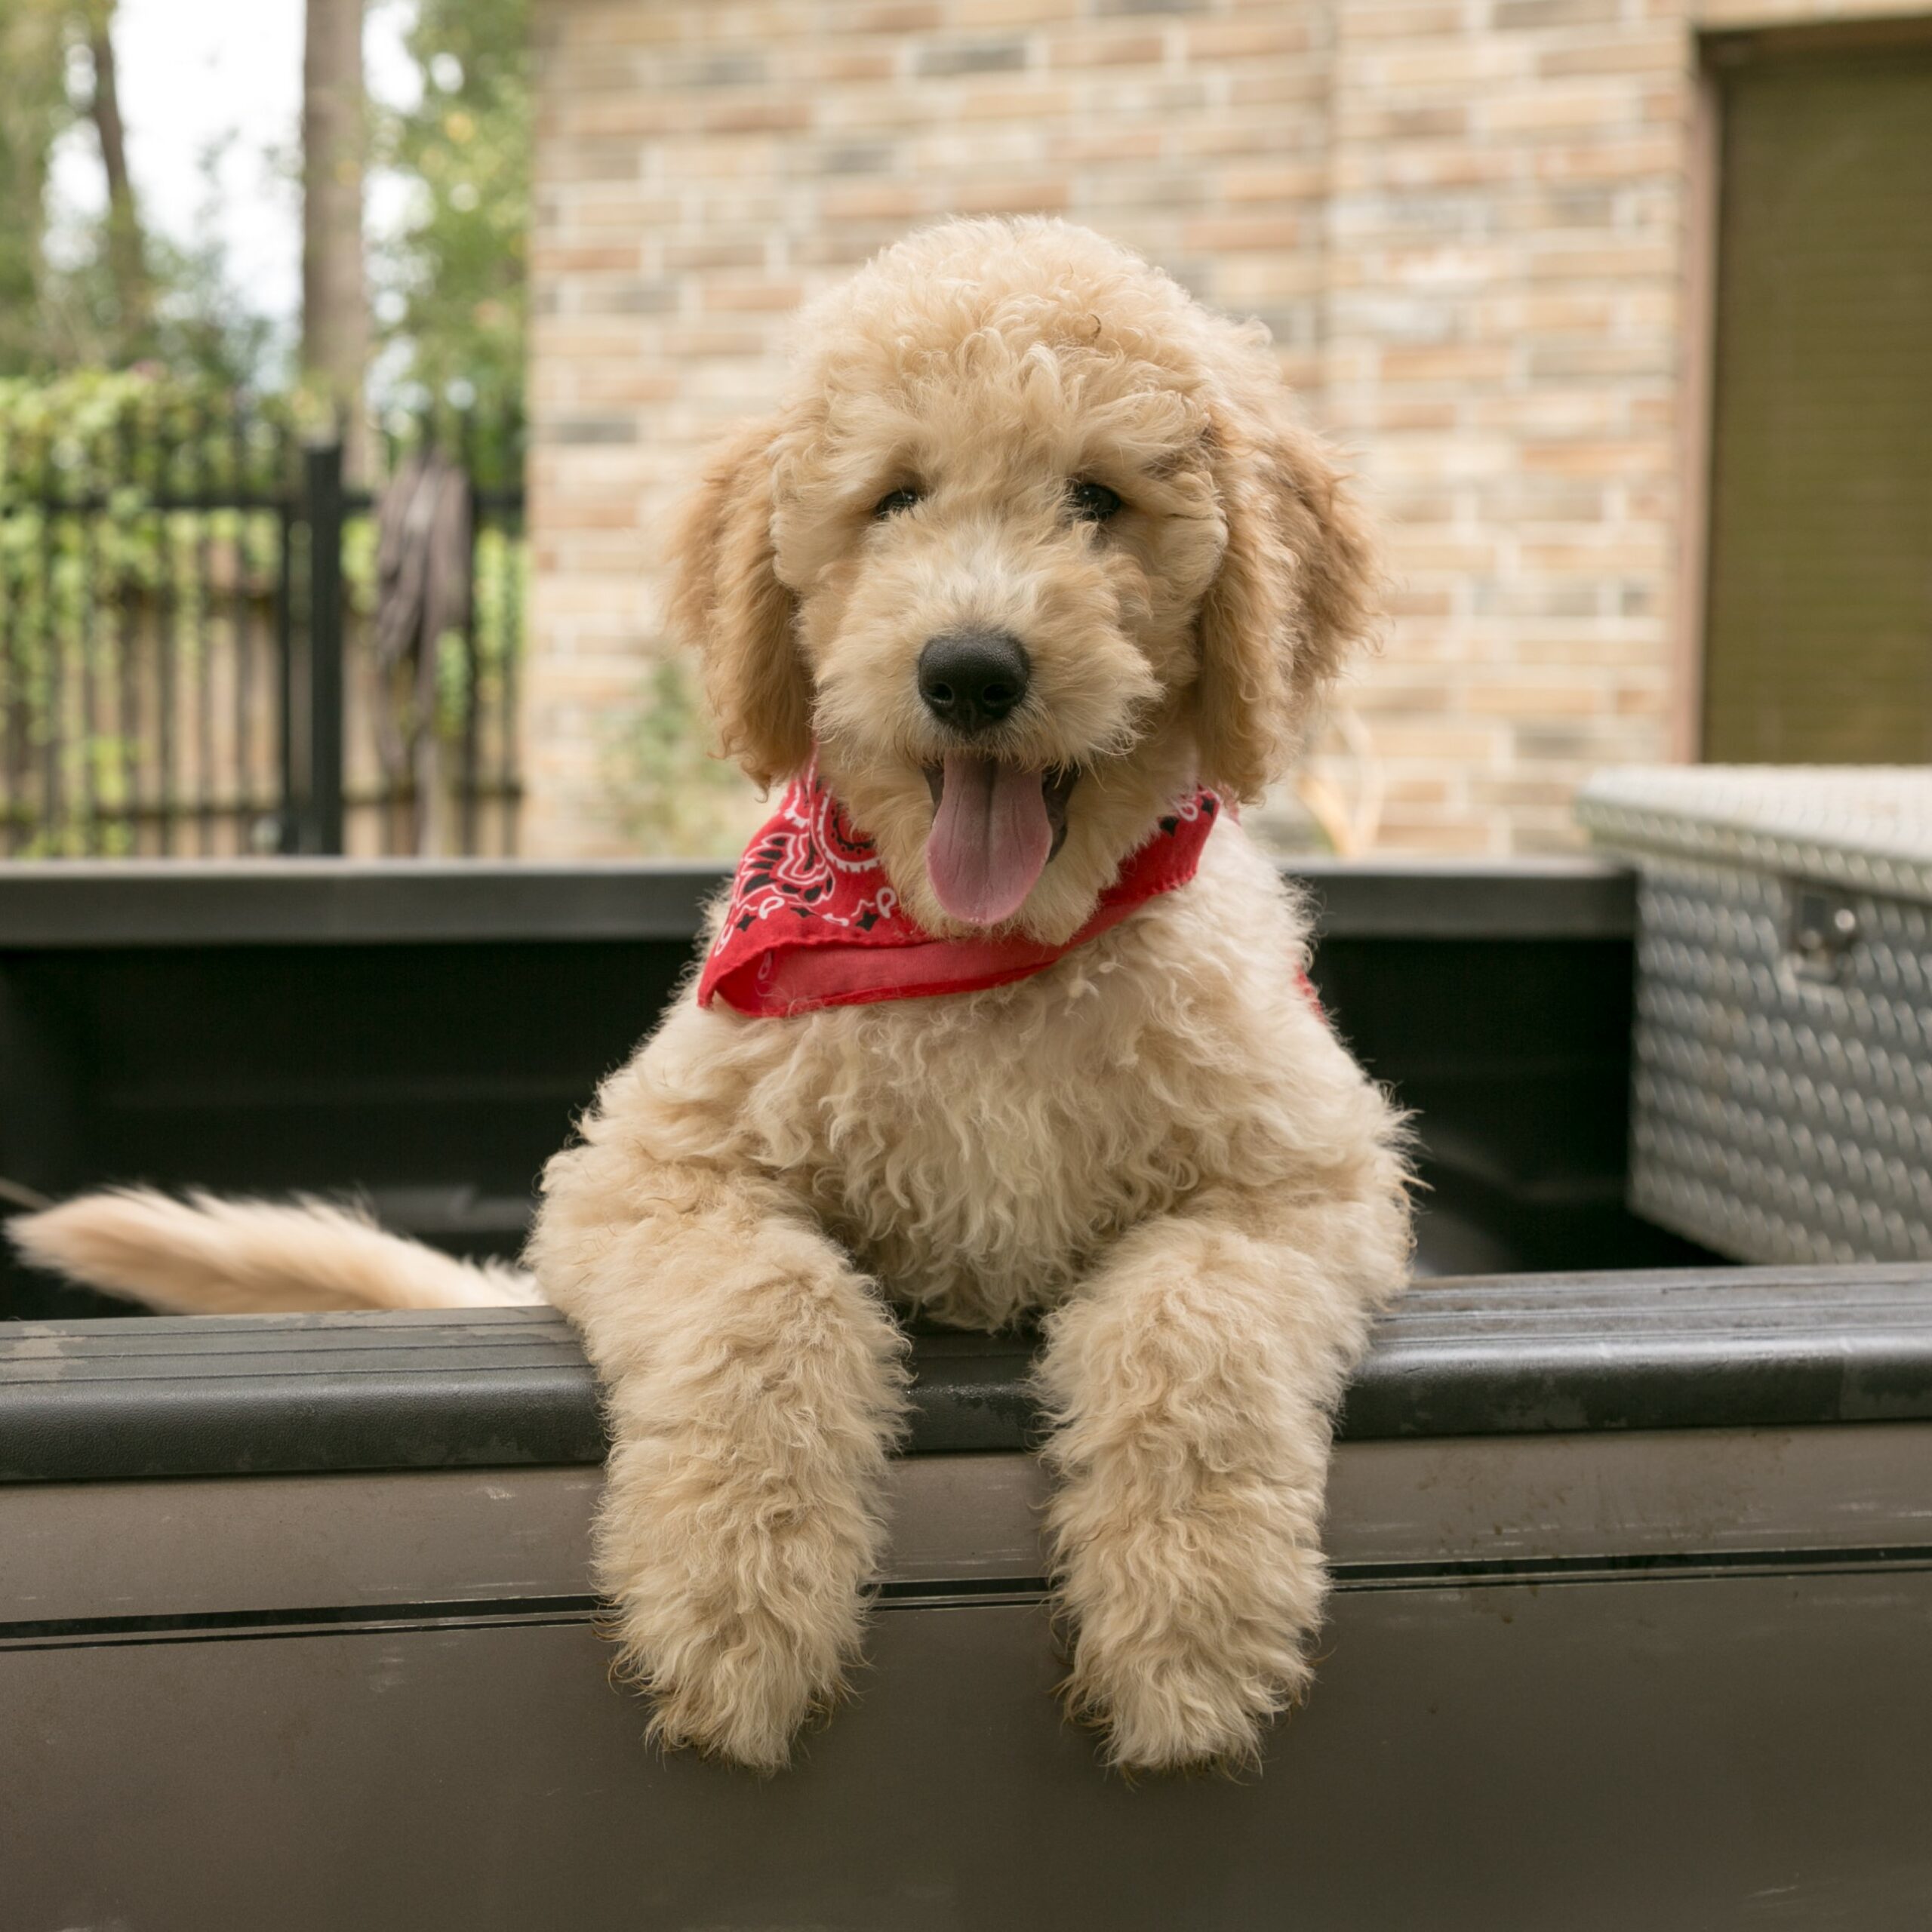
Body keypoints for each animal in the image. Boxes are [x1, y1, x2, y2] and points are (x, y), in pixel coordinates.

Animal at [15, 219, 1414, 1769]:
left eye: (1099, 498)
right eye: (896, 496)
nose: (969, 670)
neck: (978, 953)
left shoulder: (1303, 1183)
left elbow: (1193, 1324)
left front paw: (1190, 1628)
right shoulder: (650, 1172)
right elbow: (770, 1307)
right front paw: (736, 1610)